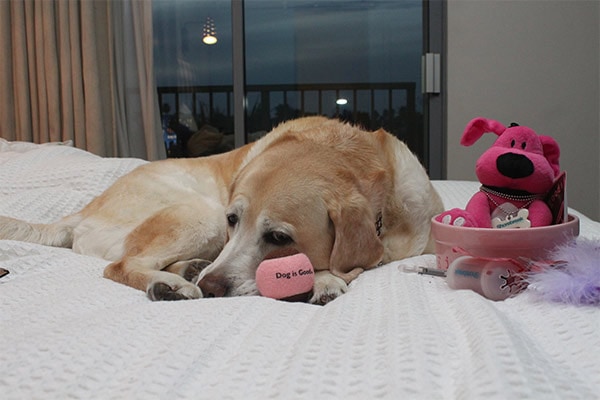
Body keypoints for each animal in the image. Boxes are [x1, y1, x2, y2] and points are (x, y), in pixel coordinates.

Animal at [0, 117, 440, 304]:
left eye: (278, 237)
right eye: (234, 220)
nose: (212, 286)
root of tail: (81, 211)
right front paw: (326, 278)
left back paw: (186, 271)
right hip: (199, 212)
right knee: (119, 265)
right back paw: (173, 284)